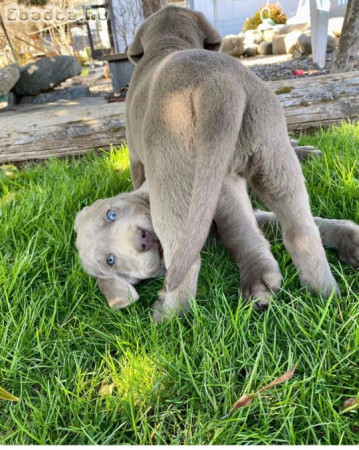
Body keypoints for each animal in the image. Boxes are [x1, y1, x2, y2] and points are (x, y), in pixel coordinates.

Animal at [75, 4, 352, 320]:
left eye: (112, 215)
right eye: (110, 260)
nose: (142, 240)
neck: (167, 44)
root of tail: (217, 83)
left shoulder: (134, 154)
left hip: (181, 183)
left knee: (186, 260)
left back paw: (168, 316)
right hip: (270, 155)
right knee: (301, 230)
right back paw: (325, 296)